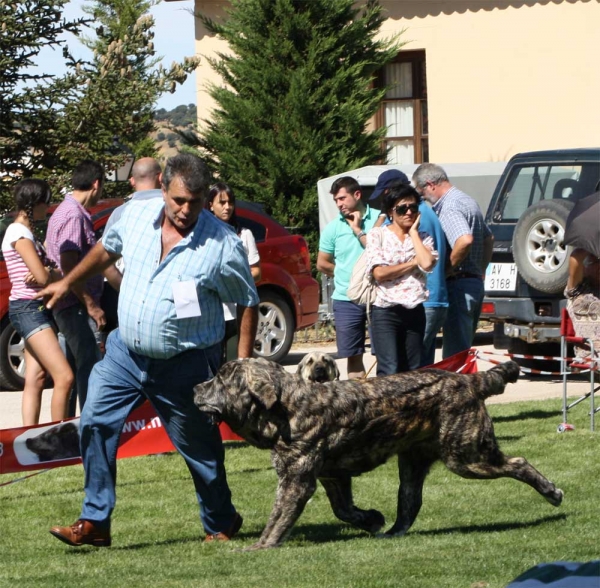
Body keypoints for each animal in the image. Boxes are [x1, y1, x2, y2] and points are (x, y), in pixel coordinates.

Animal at [195, 358, 564, 552]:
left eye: (221, 380)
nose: (196, 387)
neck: (286, 408)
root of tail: (471, 380)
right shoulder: (333, 476)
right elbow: (343, 510)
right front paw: (371, 518)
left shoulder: (295, 480)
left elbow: (278, 518)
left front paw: (261, 546)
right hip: (414, 463)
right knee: (410, 504)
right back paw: (393, 533)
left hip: (467, 456)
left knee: (517, 463)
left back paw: (551, 492)